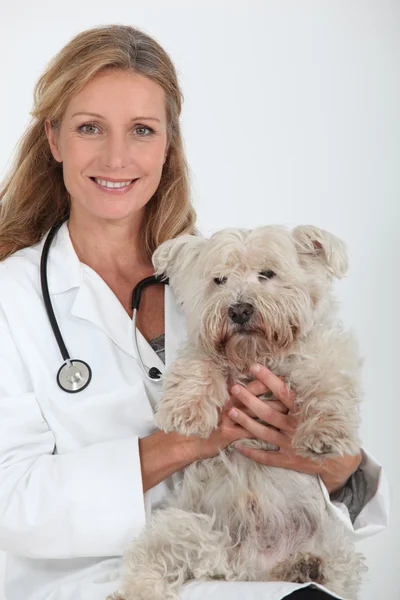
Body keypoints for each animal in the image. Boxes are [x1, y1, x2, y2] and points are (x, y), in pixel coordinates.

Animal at [108, 225, 366, 600]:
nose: (240, 310)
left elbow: (328, 386)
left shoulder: (323, 354)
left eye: (267, 274)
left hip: (334, 543)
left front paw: (324, 434)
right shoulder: (204, 346)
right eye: (219, 279)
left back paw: (305, 567)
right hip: (180, 527)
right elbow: (199, 361)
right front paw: (186, 410)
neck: (254, 354)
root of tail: (247, 567)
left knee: (335, 572)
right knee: (156, 560)